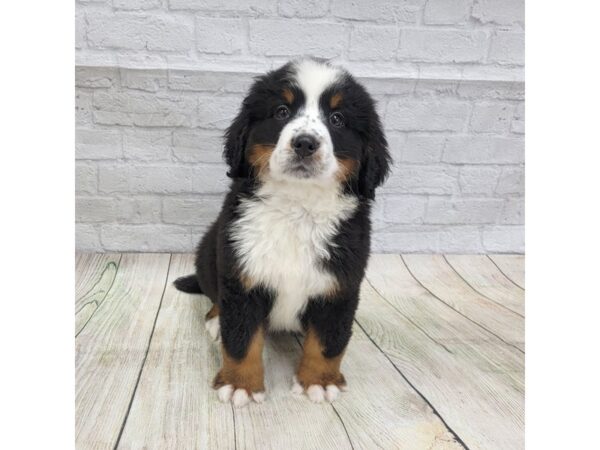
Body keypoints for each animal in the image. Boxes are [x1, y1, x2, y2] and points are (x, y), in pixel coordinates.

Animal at [175, 59, 390, 408]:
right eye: (281, 111)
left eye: (337, 119)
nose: (305, 143)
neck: (297, 209)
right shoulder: (242, 278)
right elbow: (241, 340)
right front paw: (240, 384)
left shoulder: (339, 286)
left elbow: (328, 342)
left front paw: (319, 381)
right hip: (210, 253)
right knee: (215, 295)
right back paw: (216, 320)